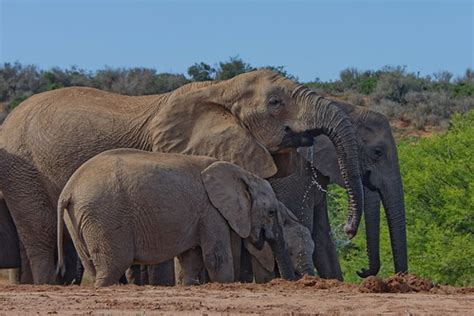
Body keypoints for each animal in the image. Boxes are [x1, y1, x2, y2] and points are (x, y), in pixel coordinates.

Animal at [56, 149, 296, 288]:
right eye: (271, 212)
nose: (288, 281)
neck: (242, 173)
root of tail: (69, 188)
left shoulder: (200, 213)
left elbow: (191, 257)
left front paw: (189, 285)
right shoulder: (210, 210)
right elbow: (216, 258)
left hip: (79, 217)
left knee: (92, 264)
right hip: (104, 216)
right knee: (114, 264)